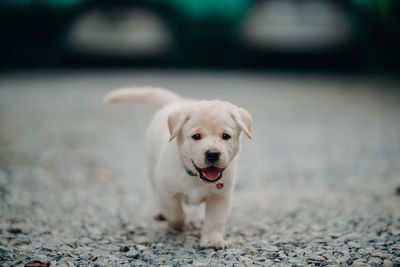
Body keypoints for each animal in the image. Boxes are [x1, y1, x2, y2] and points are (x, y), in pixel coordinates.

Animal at [104, 87, 252, 249]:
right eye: (196, 136)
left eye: (226, 136)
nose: (213, 154)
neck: (195, 177)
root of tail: (177, 100)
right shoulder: (167, 191)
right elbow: (175, 213)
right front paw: (181, 224)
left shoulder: (220, 196)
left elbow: (215, 220)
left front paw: (212, 240)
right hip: (152, 169)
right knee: (156, 193)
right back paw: (161, 212)